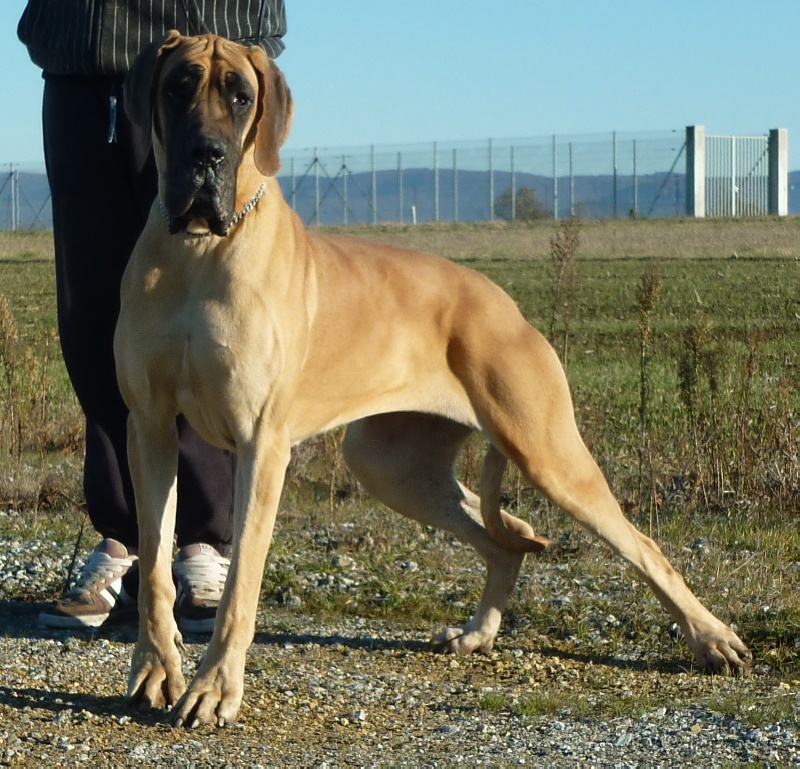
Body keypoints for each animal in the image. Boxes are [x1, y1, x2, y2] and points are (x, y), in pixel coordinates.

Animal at [115, 31, 752, 728]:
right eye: (179, 87)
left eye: (240, 96)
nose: (205, 155)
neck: (198, 252)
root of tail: (506, 305)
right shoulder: (150, 428)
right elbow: (154, 565)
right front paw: (157, 670)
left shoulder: (261, 444)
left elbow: (241, 587)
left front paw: (214, 687)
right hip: (392, 463)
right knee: (505, 542)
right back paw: (477, 634)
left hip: (548, 455)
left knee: (641, 546)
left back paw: (712, 639)